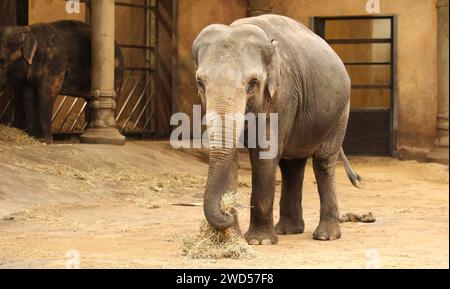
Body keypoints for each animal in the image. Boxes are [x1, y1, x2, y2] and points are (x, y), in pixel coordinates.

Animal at [193, 13, 362, 243]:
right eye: (200, 83)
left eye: (253, 83)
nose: (225, 211)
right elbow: (231, 156)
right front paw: (233, 239)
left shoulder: (283, 95)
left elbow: (265, 153)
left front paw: (259, 241)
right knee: (292, 165)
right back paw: (289, 230)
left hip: (340, 112)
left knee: (323, 162)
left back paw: (325, 236)